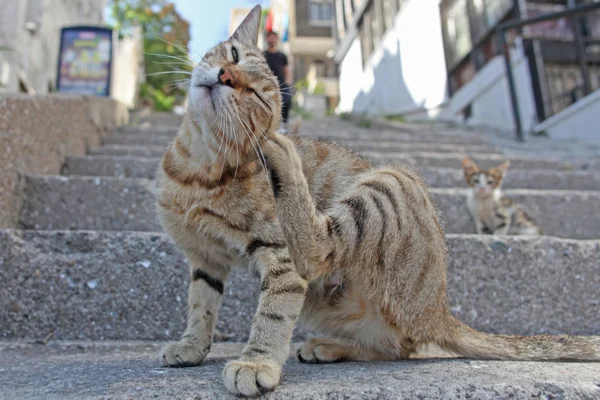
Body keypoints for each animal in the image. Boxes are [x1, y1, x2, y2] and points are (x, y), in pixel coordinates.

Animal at [155, 6, 596, 396]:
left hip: (391, 181)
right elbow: (201, 304)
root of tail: (440, 310)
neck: (195, 167)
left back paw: (285, 157)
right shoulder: (204, 258)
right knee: (398, 347)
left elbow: (273, 313)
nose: (226, 75)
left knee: (319, 252)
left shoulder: (279, 258)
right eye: (232, 56)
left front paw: (257, 361)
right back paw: (331, 346)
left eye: (258, 98)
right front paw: (192, 345)